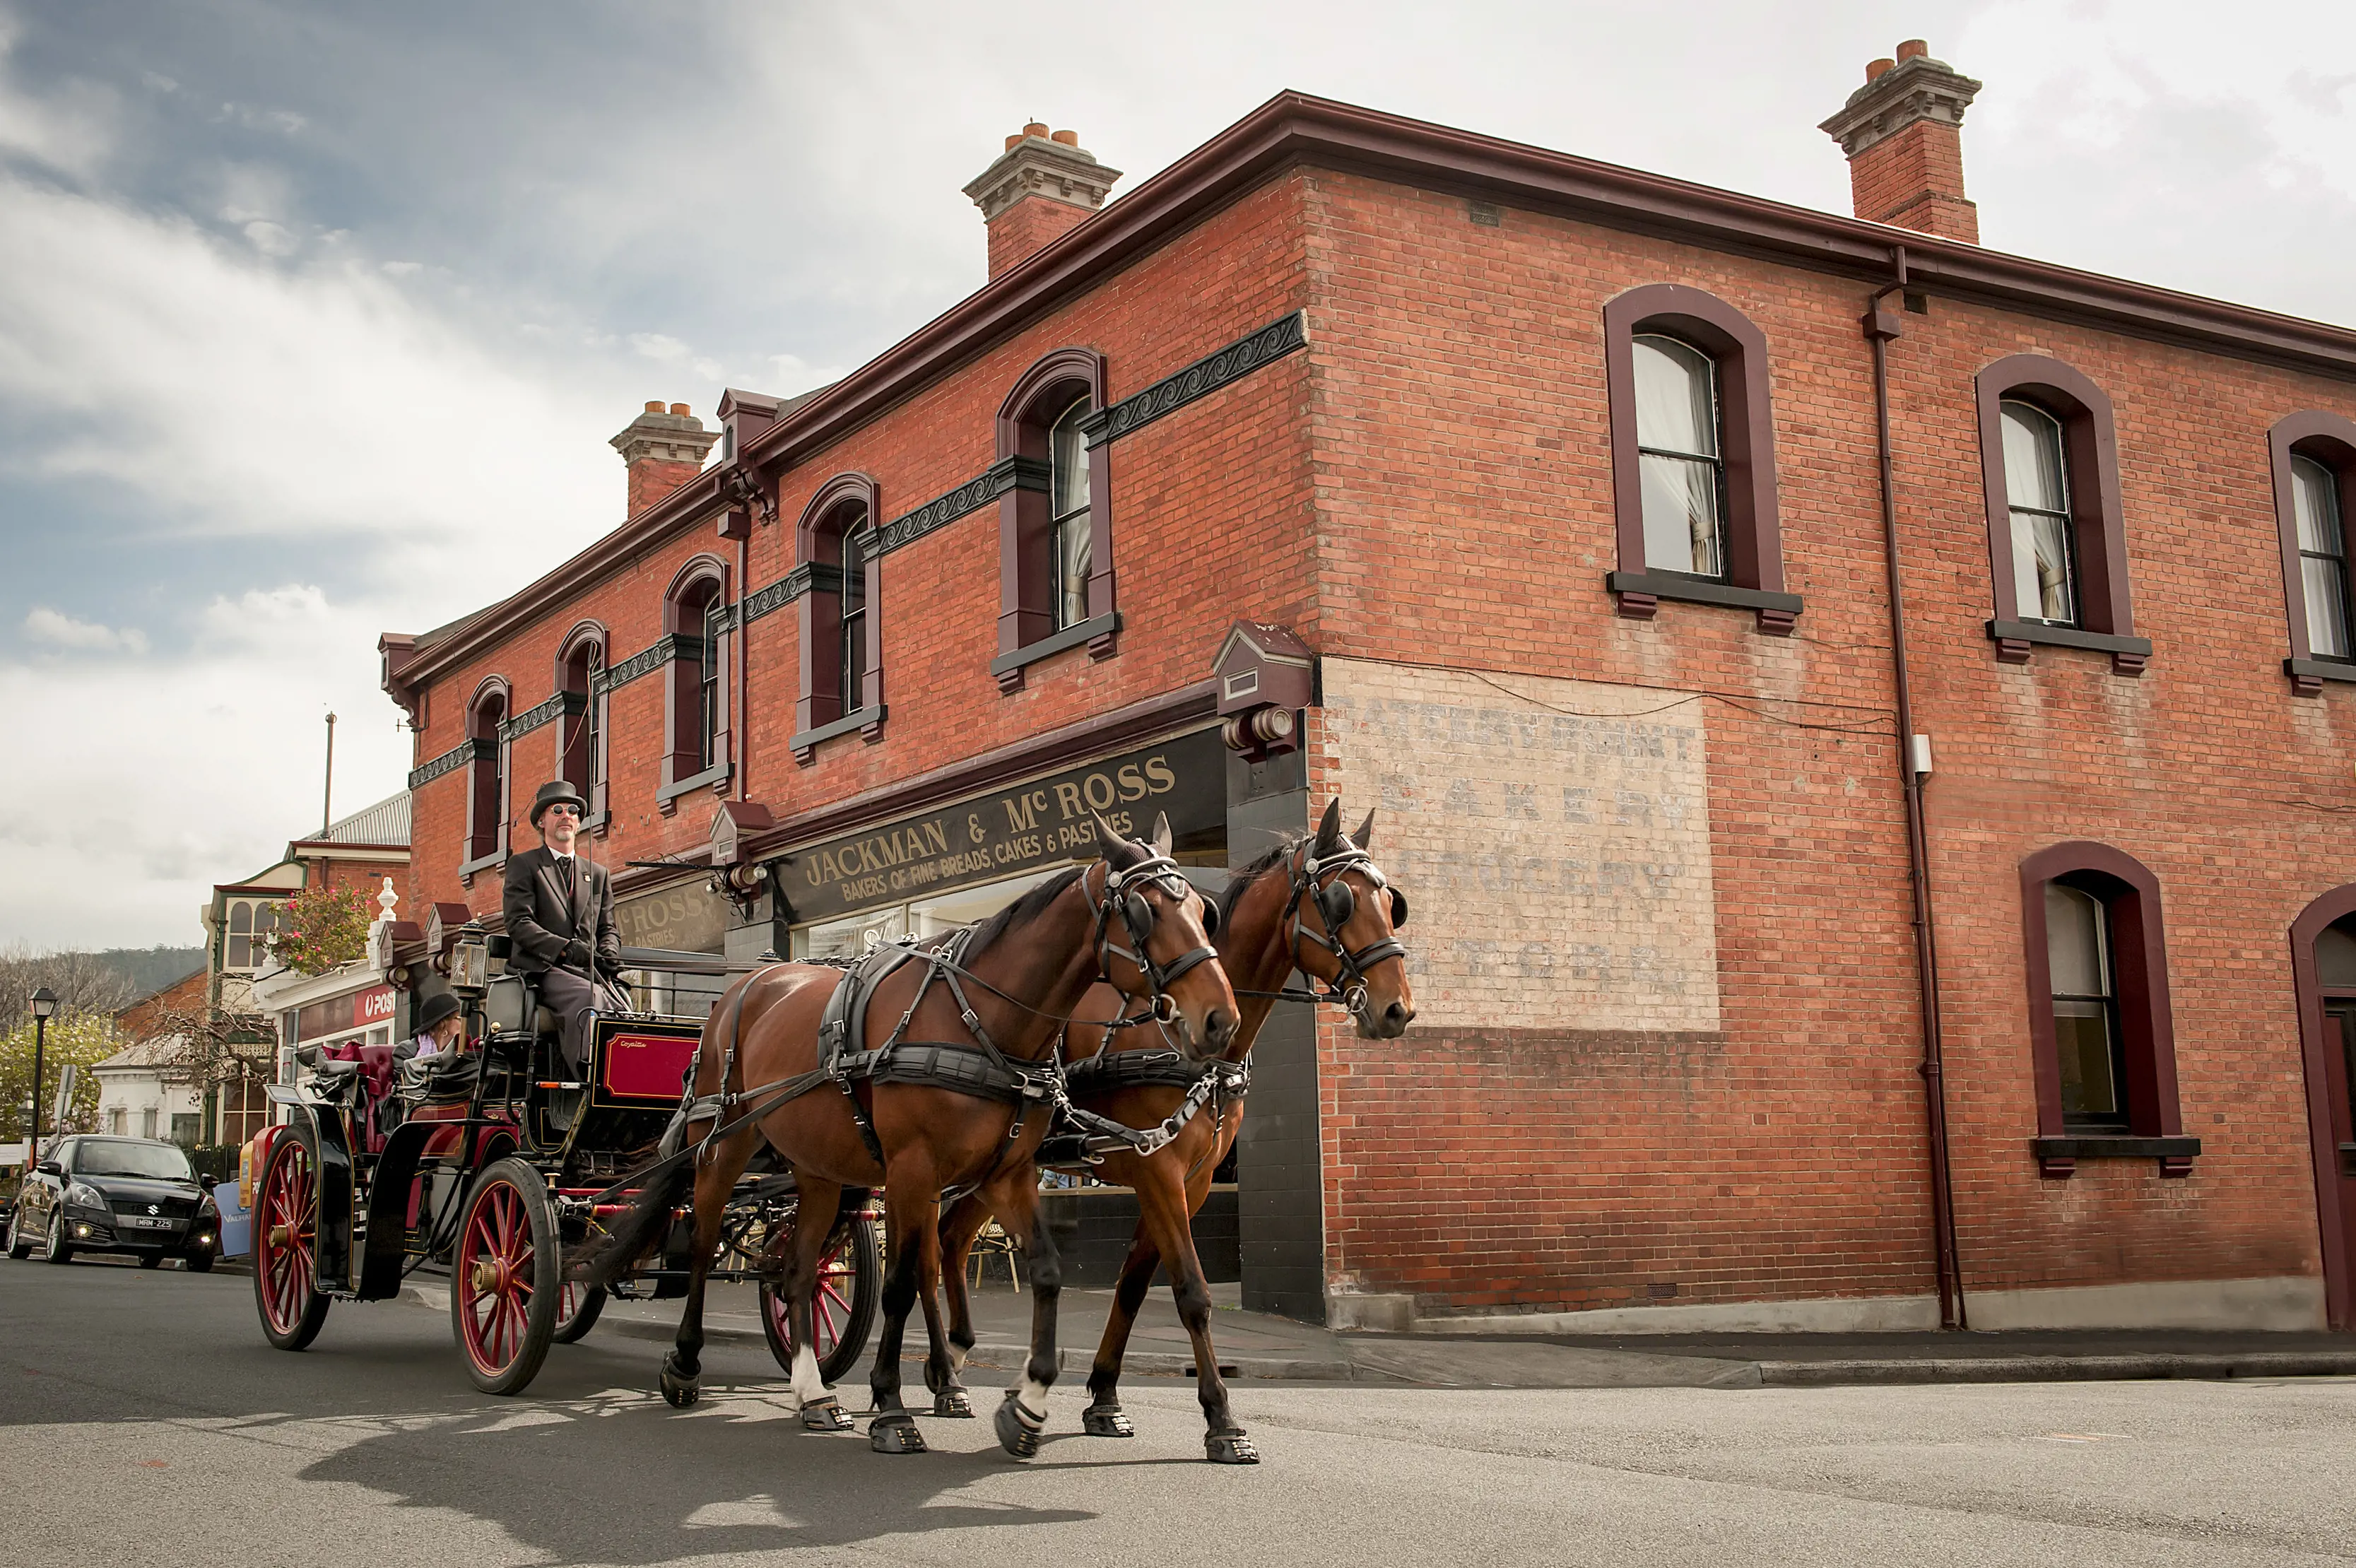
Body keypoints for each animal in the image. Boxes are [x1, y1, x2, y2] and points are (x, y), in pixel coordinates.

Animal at [575, 819, 1235, 1450]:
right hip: (722, 1141)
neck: (981, 1021)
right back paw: (685, 1363)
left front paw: (1026, 1402)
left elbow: (1043, 1269)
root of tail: (744, 985)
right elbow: (897, 1286)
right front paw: (892, 1408)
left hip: (819, 1169)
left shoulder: (1005, 1173)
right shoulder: (911, 1169)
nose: (1220, 1019)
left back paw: (815, 1392)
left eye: (1204, 912)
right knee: (705, 1238)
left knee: (798, 1268)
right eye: (1145, 911)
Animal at [937, 800, 1413, 1459]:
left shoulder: (1190, 1178)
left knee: (950, 1240)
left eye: (1391, 900)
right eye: (1341, 901)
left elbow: (1134, 1286)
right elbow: (1192, 1291)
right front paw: (1223, 1419)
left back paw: (951, 1371)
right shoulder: (1156, 1169)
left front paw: (1105, 1397)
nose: (1398, 1009)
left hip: (996, 1165)